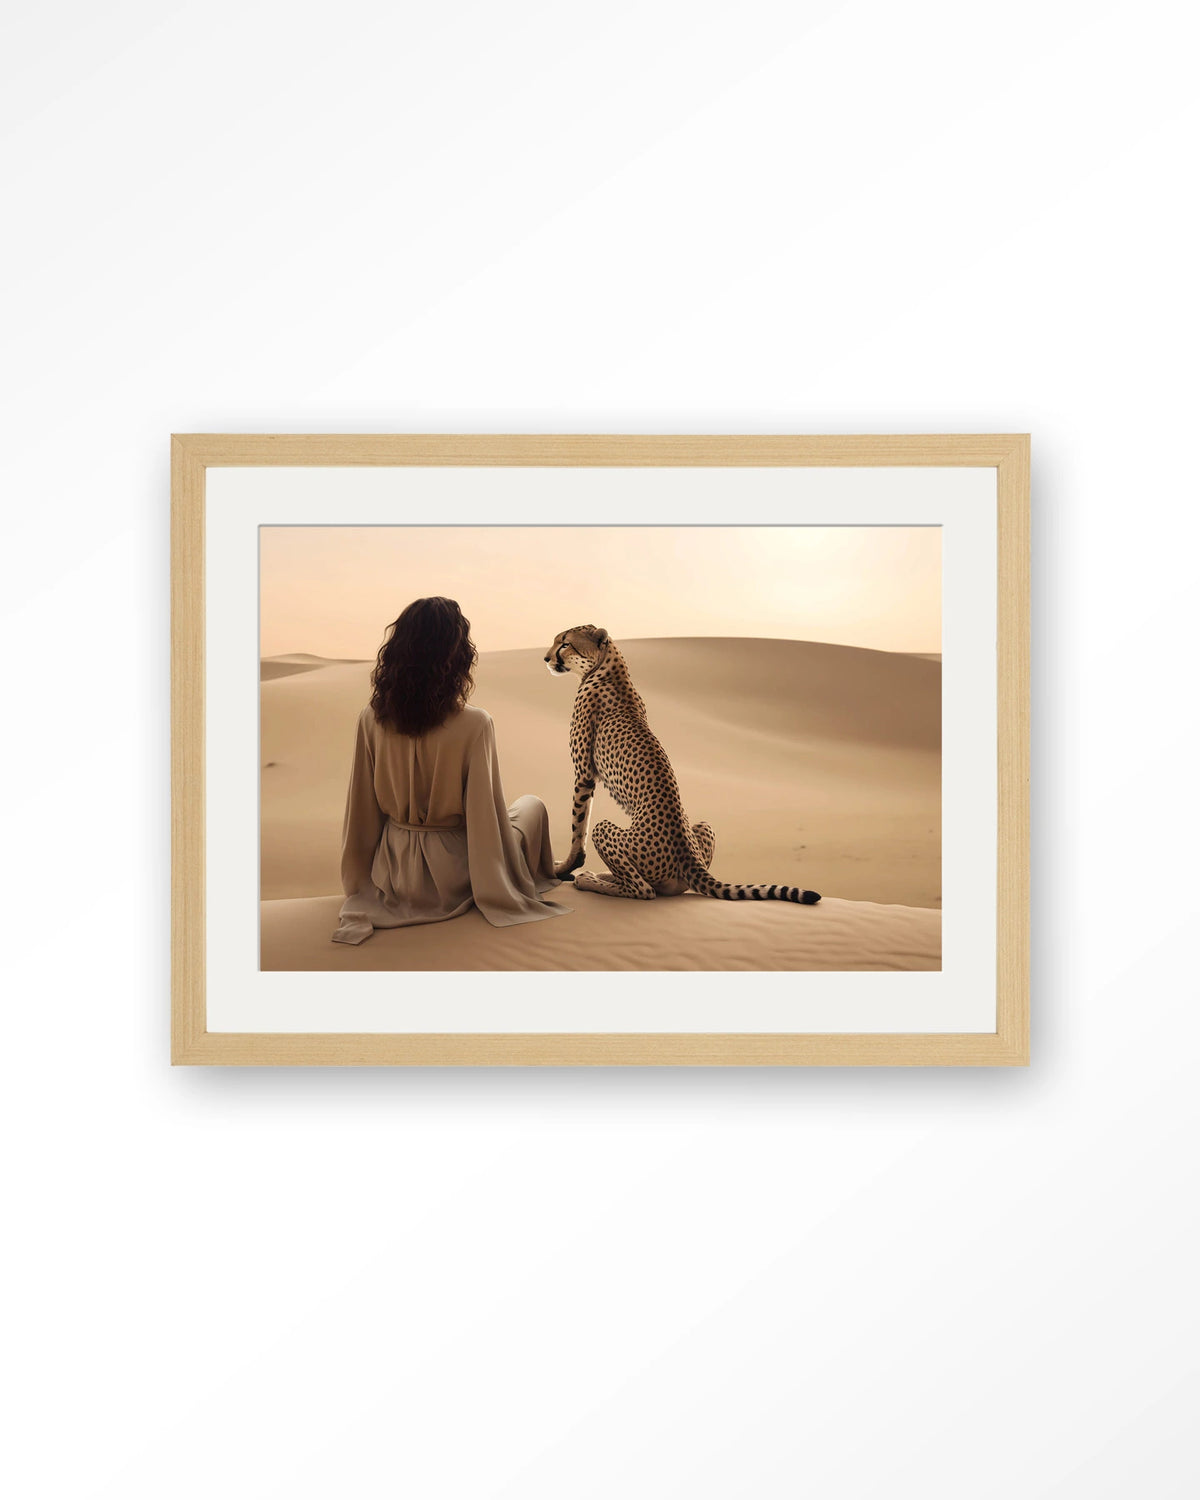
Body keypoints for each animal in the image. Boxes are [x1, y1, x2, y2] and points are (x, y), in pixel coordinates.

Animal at [543, 624, 821, 905]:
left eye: (565, 644)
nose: (546, 658)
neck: (608, 667)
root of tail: (689, 859)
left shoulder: (584, 774)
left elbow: (578, 828)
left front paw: (562, 868)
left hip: (611, 834)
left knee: (644, 890)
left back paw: (590, 880)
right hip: (703, 827)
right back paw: (607, 876)